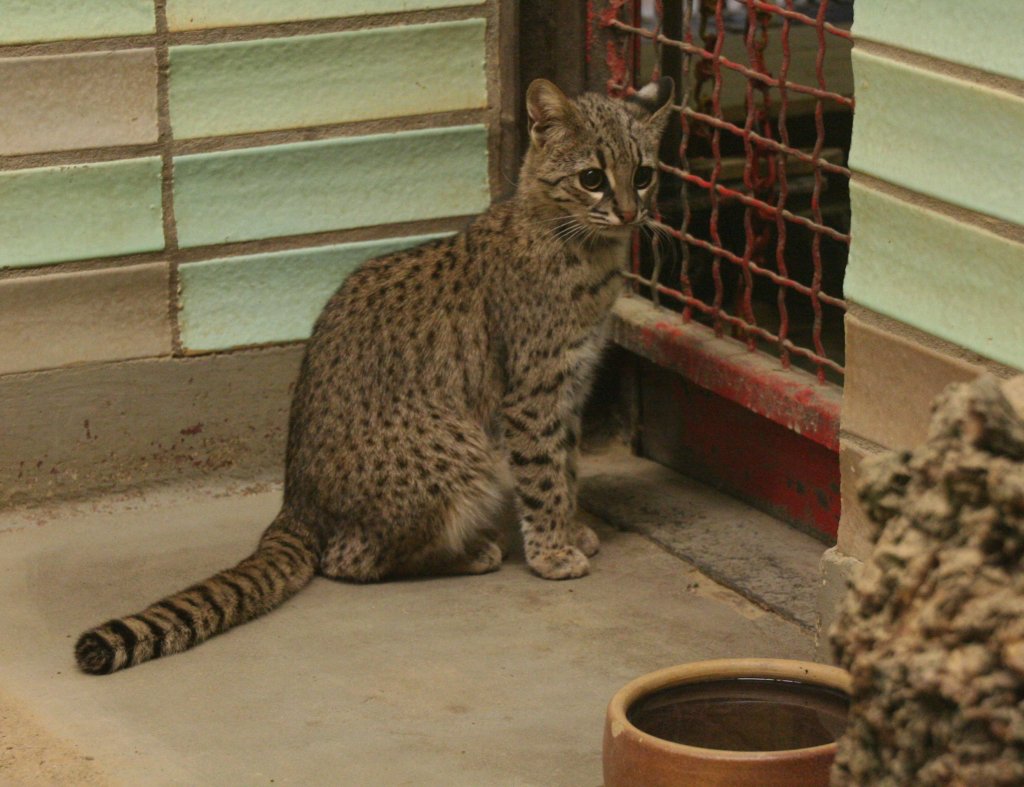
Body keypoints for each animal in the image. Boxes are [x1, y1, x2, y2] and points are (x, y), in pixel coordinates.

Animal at [75, 76, 675, 671]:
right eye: (592, 178)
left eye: (643, 175)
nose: (629, 213)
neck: (581, 247)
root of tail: (295, 503)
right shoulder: (534, 396)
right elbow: (545, 477)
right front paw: (551, 551)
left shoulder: (568, 390)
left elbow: (566, 469)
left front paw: (570, 530)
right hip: (458, 450)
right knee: (347, 561)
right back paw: (471, 553)